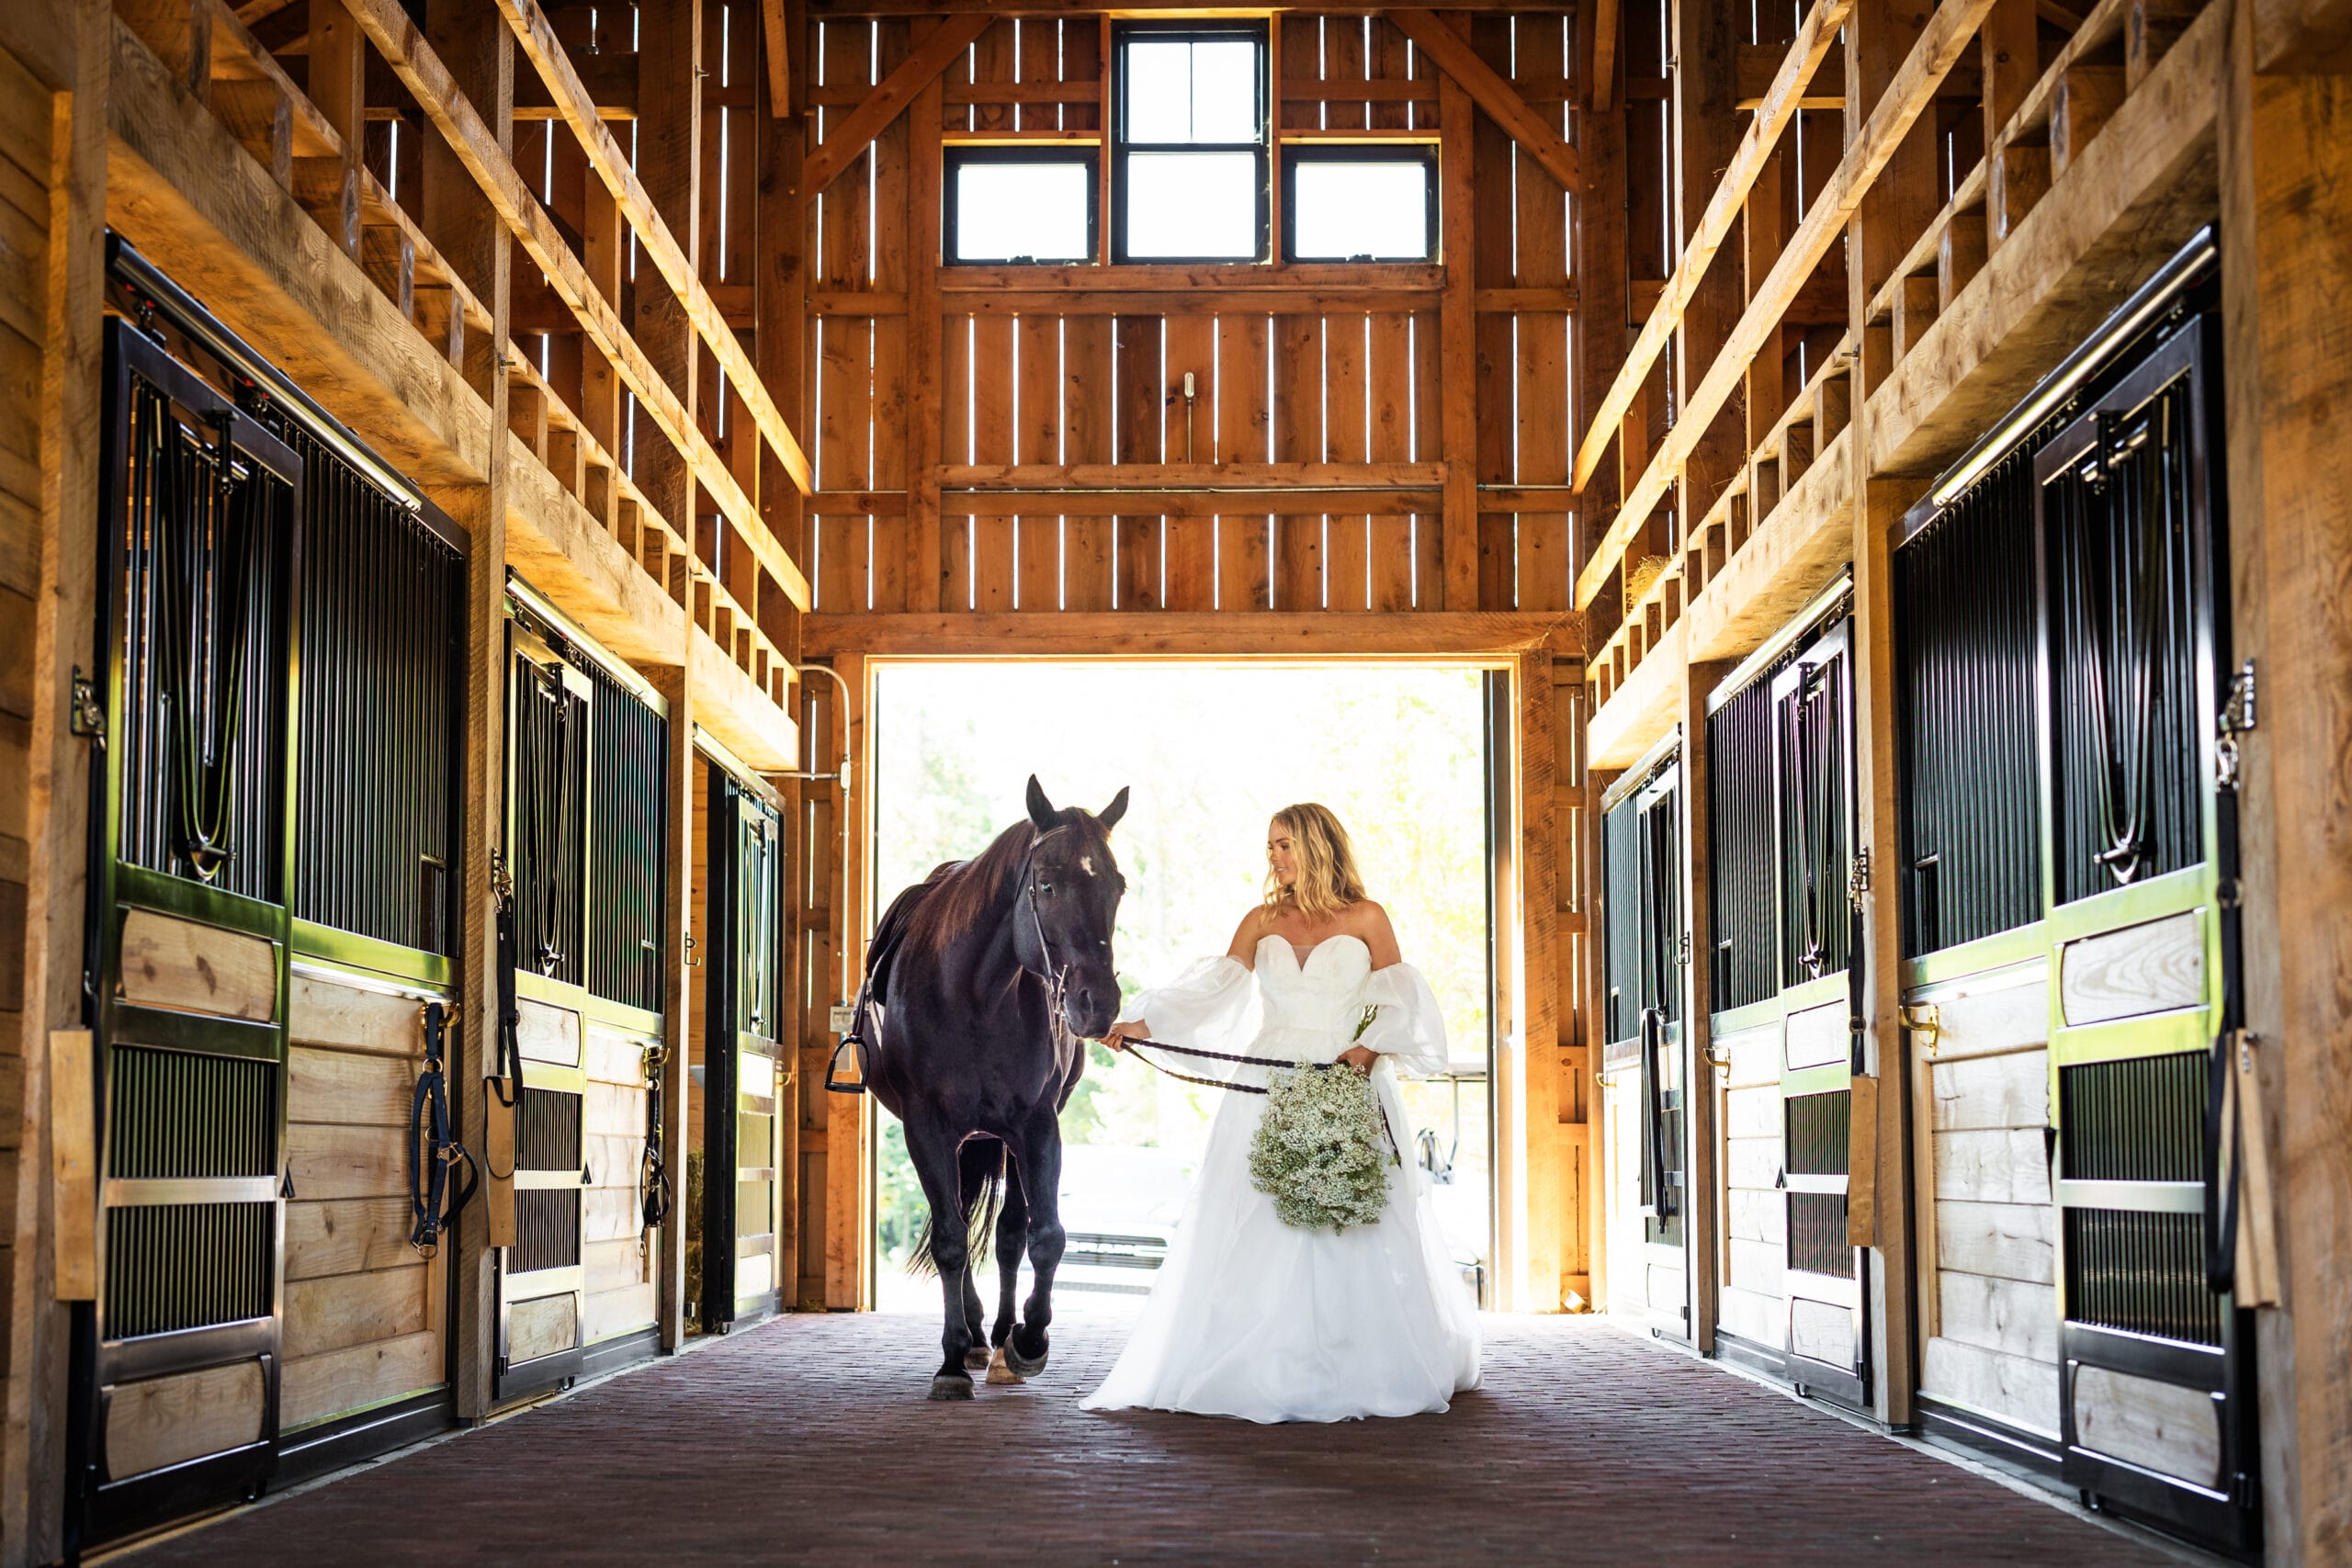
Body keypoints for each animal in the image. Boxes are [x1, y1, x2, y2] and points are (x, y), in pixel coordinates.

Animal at [855, 780, 1128, 1401]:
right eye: (1046, 883)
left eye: (1118, 885)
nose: (1097, 1003)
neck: (974, 993)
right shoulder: (926, 1127)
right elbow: (950, 1240)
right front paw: (952, 1361)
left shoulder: (1036, 1124)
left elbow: (1042, 1235)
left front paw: (1028, 1341)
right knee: (956, 1223)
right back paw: (975, 1337)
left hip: (998, 1138)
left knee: (1005, 1234)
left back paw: (1000, 1337)